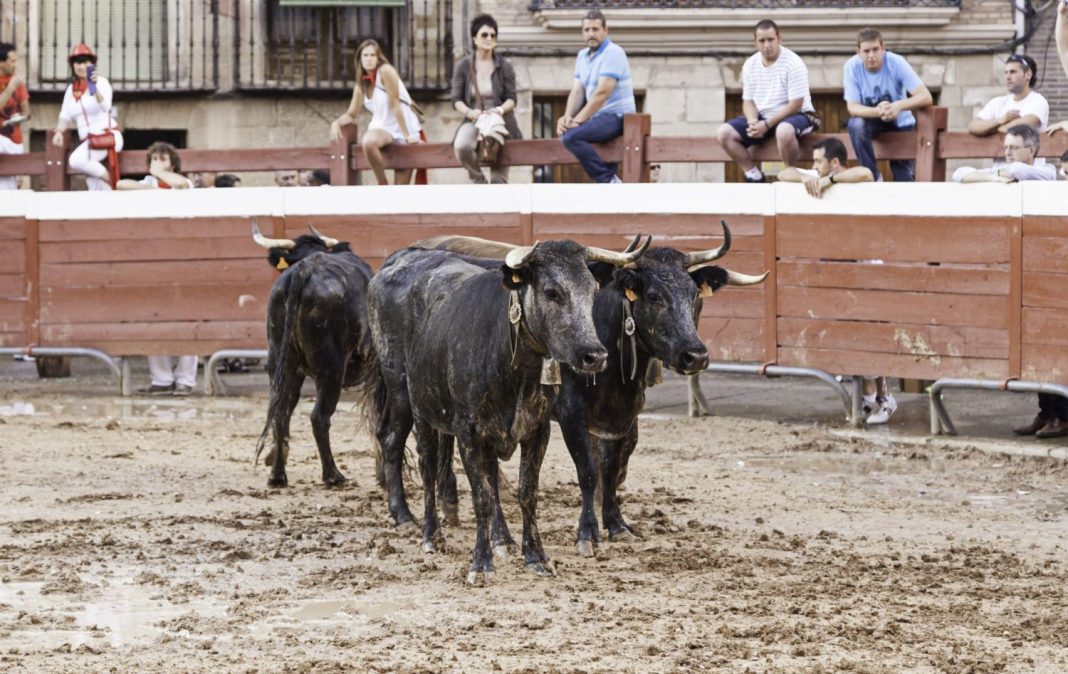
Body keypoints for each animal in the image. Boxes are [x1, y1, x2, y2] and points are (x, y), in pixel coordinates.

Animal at [252, 224, 382, 487]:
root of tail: (302, 271)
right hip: (331, 369)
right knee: (319, 417)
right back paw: (333, 475)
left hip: (279, 362)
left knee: (280, 412)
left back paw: (277, 474)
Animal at [367, 238, 649, 585]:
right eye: (551, 291)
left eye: (592, 289)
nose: (594, 356)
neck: (513, 365)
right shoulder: (467, 433)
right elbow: (482, 497)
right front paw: (480, 563)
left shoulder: (537, 430)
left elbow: (526, 492)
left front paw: (535, 556)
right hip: (416, 408)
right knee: (424, 465)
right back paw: (427, 533)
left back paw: (502, 540)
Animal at [407, 221, 768, 555]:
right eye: (654, 297)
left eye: (695, 297)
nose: (696, 355)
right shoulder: (571, 415)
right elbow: (589, 472)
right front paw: (588, 533)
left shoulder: (625, 417)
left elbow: (611, 469)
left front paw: (616, 523)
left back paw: (451, 505)